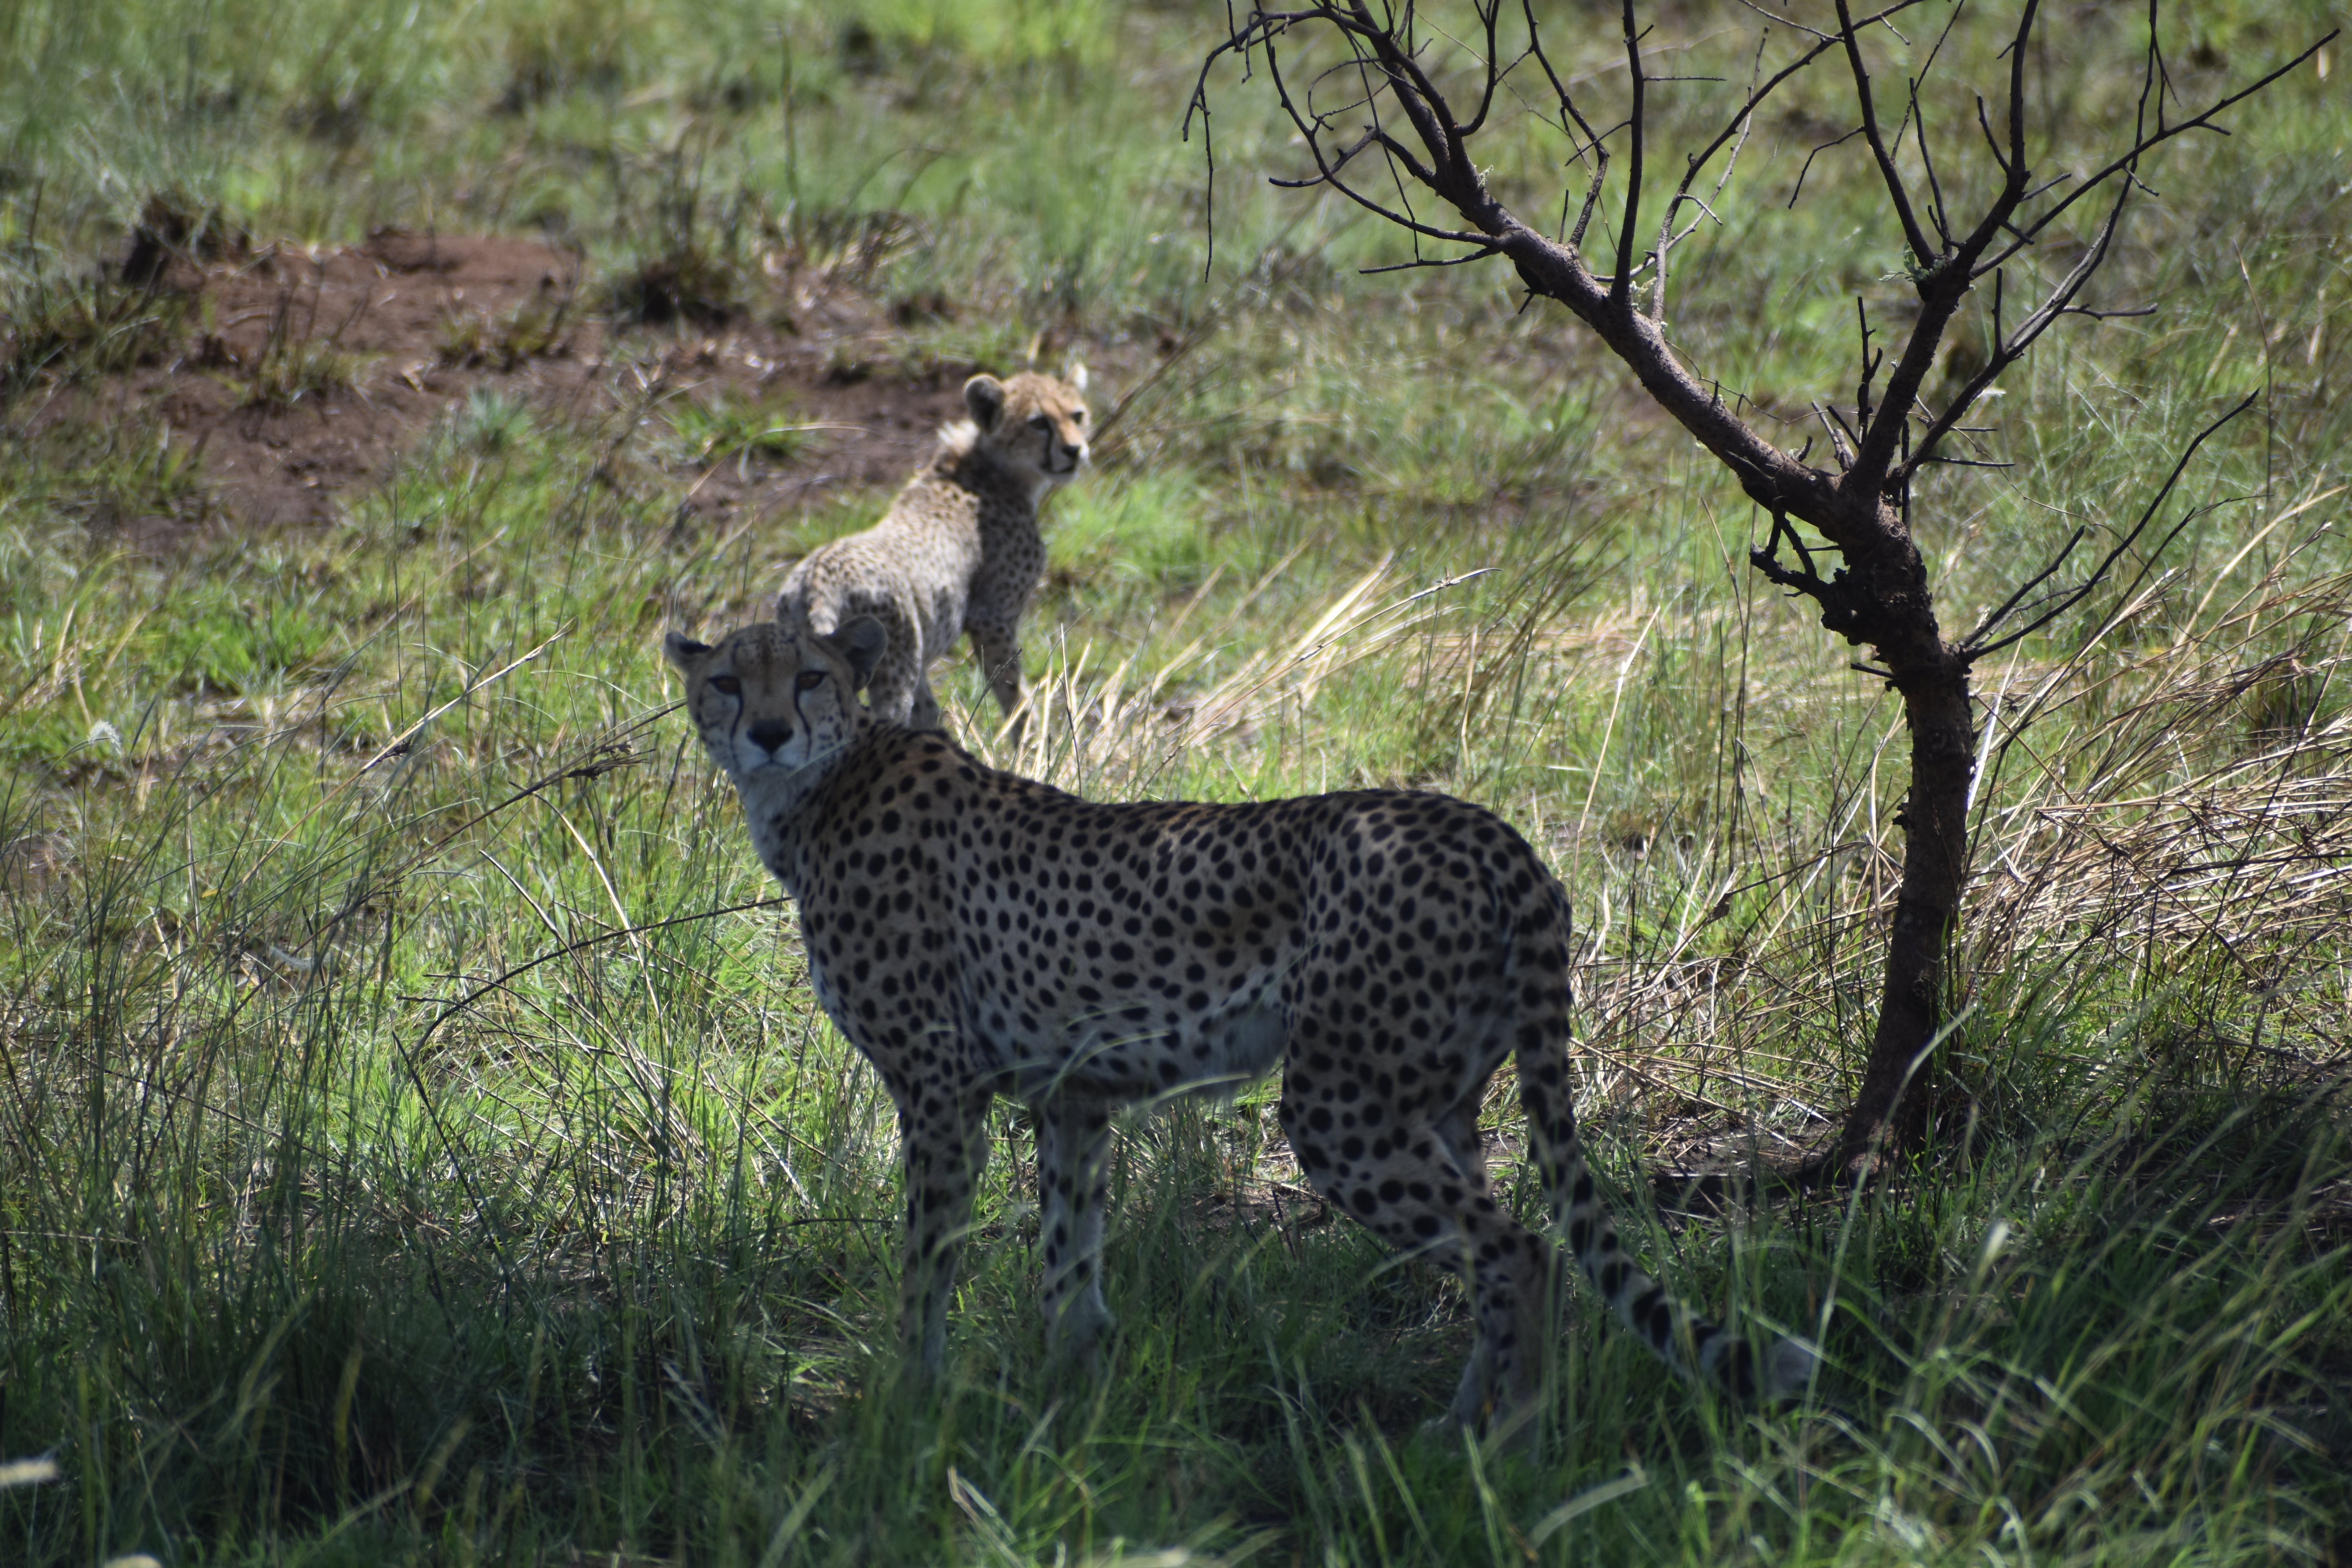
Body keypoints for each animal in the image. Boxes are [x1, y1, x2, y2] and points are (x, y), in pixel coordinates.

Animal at [663, 616, 1815, 1428]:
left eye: (810, 677)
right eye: (727, 681)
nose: (767, 731)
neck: (821, 788)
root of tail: (1485, 826)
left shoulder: (941, 1090)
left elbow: (928, 1261)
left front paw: (914, 1404)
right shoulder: (1072, 1097)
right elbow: (1068, 1264)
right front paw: (1068, 1410)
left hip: (1341, 1104)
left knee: (1521, 1253)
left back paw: (1509, 1451)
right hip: (1439, 1098)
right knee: (1508, 1252)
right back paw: (1451, 1434)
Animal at [776, 366, 1091, 743]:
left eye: (1077, 415)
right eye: (1039, 423)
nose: (1075, 450)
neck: (993, 468)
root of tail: (817, 576)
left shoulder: (923, 653)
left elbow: (928, 713)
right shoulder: (991, 618)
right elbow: (1011, 690)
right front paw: (1033, 746)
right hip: (891, 670)